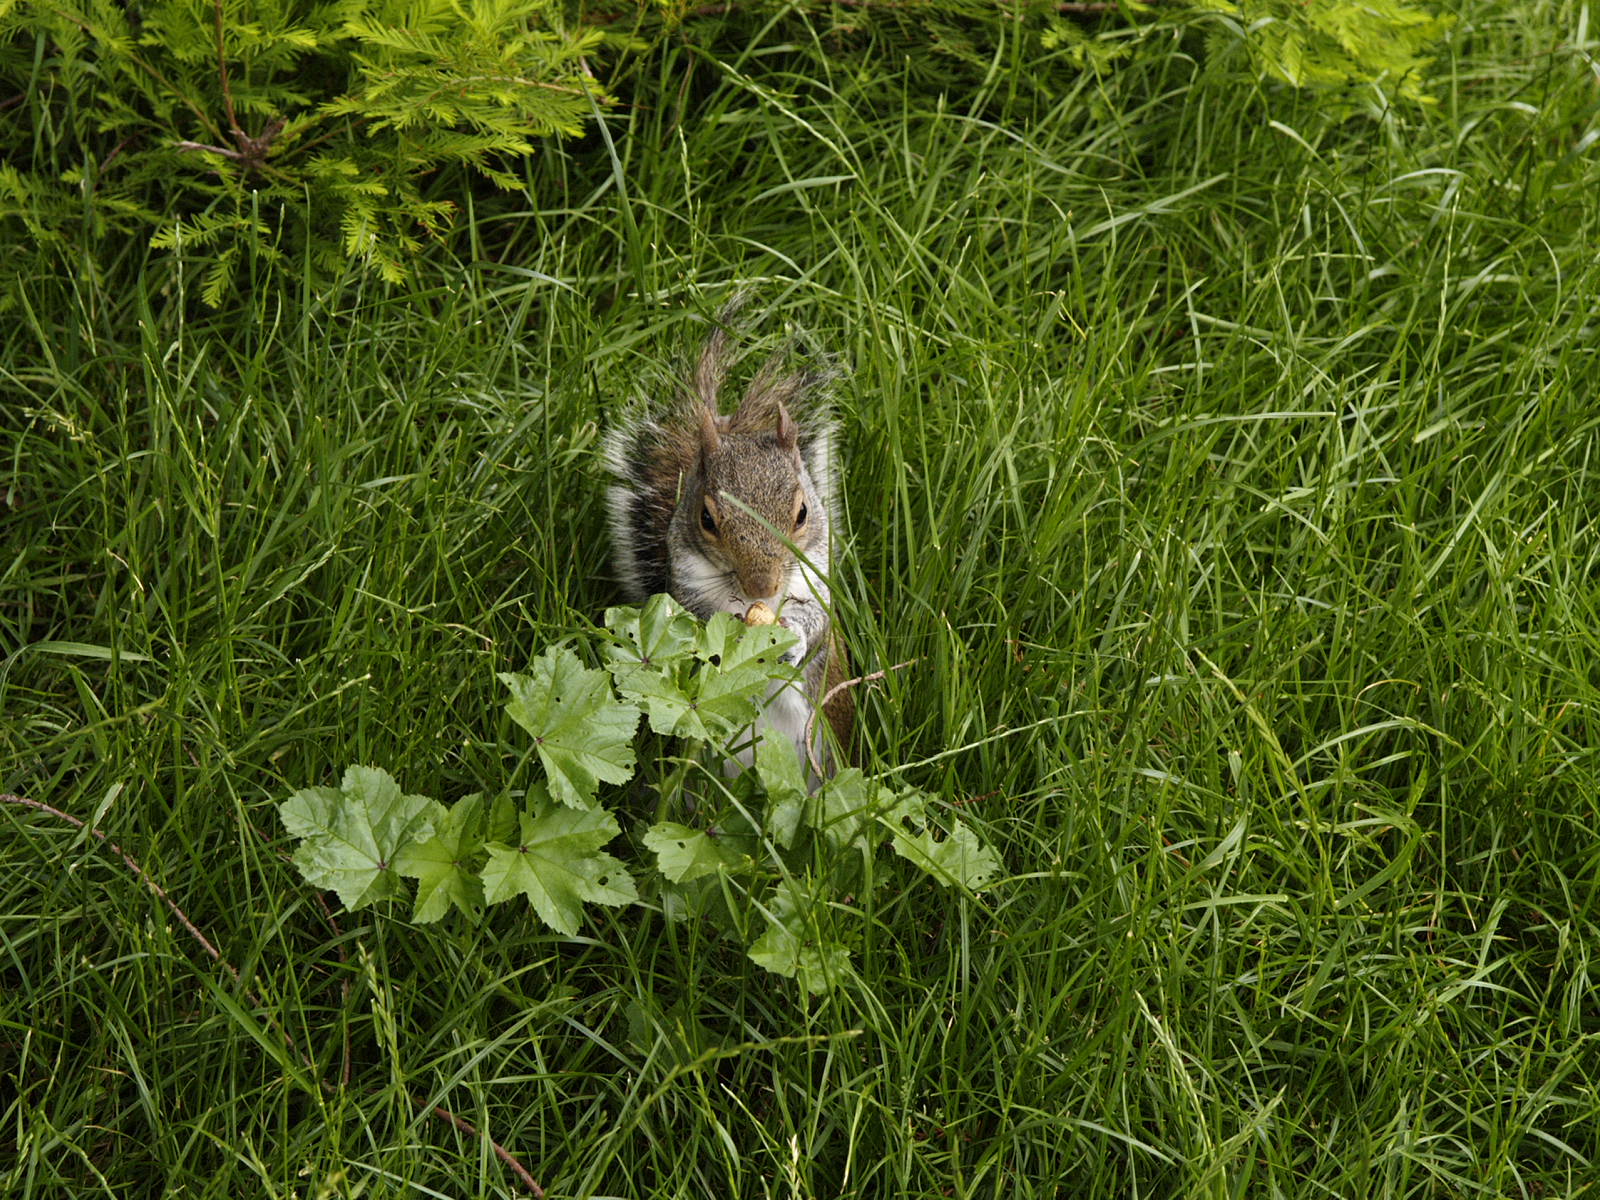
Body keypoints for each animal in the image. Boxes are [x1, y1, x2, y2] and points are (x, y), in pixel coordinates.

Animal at [603, 309, 852, 779]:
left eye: (803, 513)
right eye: (707, 519)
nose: (762, 586)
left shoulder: (817, 581)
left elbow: (817, 623)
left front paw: (792, 637)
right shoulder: (685, 585)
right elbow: (692, 623)